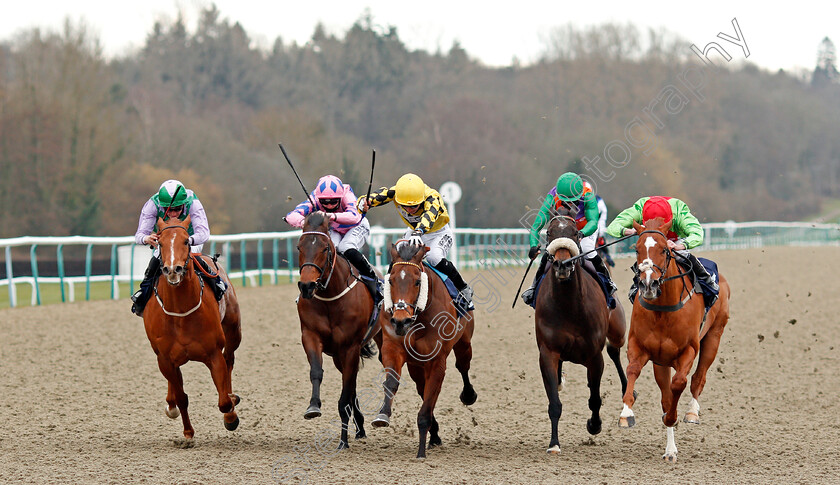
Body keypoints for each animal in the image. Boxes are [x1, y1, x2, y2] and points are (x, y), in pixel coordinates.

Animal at [143, 215, 241, 438]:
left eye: (186, 241)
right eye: (160, 242)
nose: (172, 270)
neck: (180, 313)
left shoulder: (213, 353)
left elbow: (224, 401)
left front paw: (231, 416)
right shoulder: (165, 359)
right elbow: (182, 398)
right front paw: (188, 432)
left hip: (233, 331)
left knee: (229, 359)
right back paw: (170, 404)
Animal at [294, 212, 376, 450]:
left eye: (324, 249)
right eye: (299, 247)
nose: (307, 286)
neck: (331, 295)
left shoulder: (350, 347)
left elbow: (344, 397)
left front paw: (342, 442)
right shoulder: (311, 336)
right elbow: (316, 371)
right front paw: (313, 406)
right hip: (340, 356)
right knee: (353, 383)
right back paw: (360, 428)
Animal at [370, 242, 476, 458]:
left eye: (418, 282)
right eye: (390, 280)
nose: (400, 321)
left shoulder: (436, 361)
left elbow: (427, 404)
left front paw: (420, 452)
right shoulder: (393, 349)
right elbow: (391, 382)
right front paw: (382, 415)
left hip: (464, 343)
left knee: (463, 367)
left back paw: (469, 395)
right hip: (416, 366)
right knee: (422, 388)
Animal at [536, 214, 628, 452]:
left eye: (575, 233)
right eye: (549, 233)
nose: (562, 265)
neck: (568, 305)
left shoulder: (594, 356)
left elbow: (595, 399)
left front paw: (594, 425)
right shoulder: (548, 353)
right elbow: (554, 402)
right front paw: (554, 443)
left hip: (618, 329)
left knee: (615, 351)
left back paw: (628, 389)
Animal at [620, 216, 732, 462]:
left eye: (664, 249)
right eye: (636, 249)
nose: (648, 284)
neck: (663, 309)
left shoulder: (688, 350)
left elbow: (679, 383)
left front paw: (674, 417)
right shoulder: (641, 348)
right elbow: (633, 371)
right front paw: (626, 413)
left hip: (714, 337)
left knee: (699, 378)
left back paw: (691, 412)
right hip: (661, 362)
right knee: (666, 395)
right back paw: (670, 450)